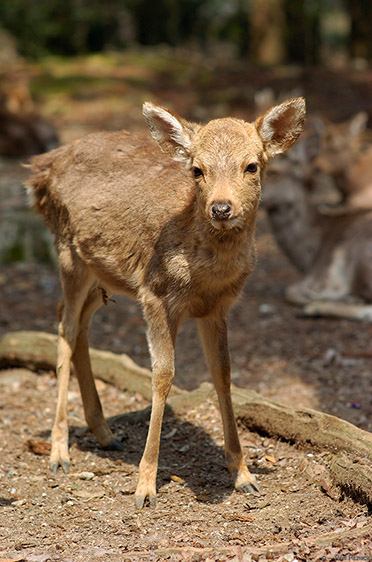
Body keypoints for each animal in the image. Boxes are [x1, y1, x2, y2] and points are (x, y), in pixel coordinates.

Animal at [25, 98, 306, 506]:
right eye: (197, 169)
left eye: (252, 165)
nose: (221, 208)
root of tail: (41, 169)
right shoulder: (154, 294)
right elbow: (163, 375)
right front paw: (145, 486)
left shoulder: (219, 308)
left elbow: (223, 373)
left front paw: (243, 474)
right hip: (67, 252)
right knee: (65, 327)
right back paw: (59, 451)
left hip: (104, 273)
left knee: (76, 322)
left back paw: (105, 434)